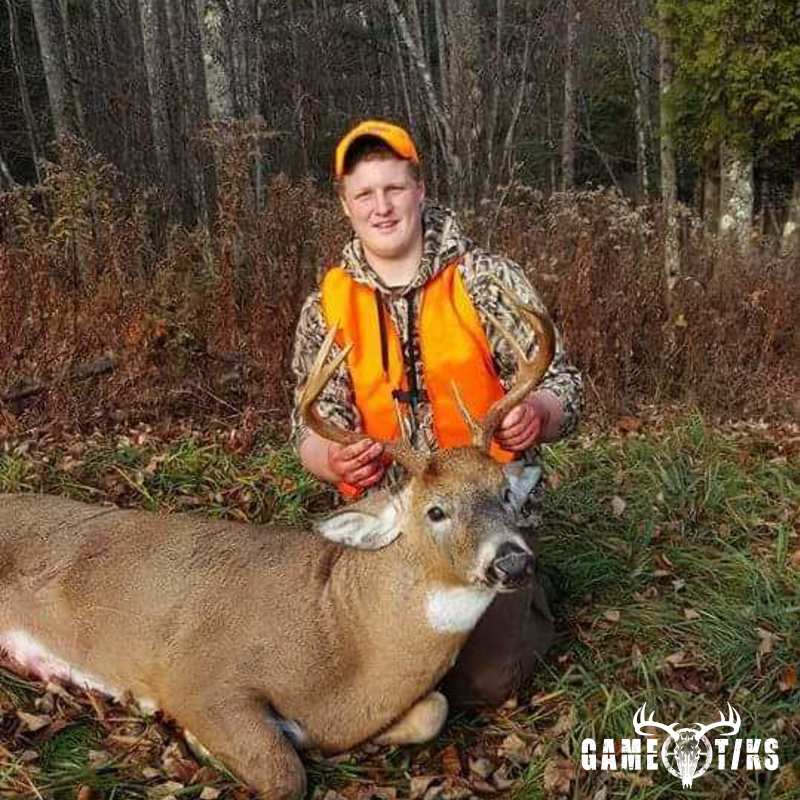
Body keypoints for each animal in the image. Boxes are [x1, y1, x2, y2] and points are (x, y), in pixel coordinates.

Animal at [0, 288, 555, 800]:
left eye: (505, 493)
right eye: (435, 511)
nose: (512, 561)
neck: (344, 636)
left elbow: (433, 710)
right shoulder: (199, 676)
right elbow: (284, 775)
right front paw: (198, 743)